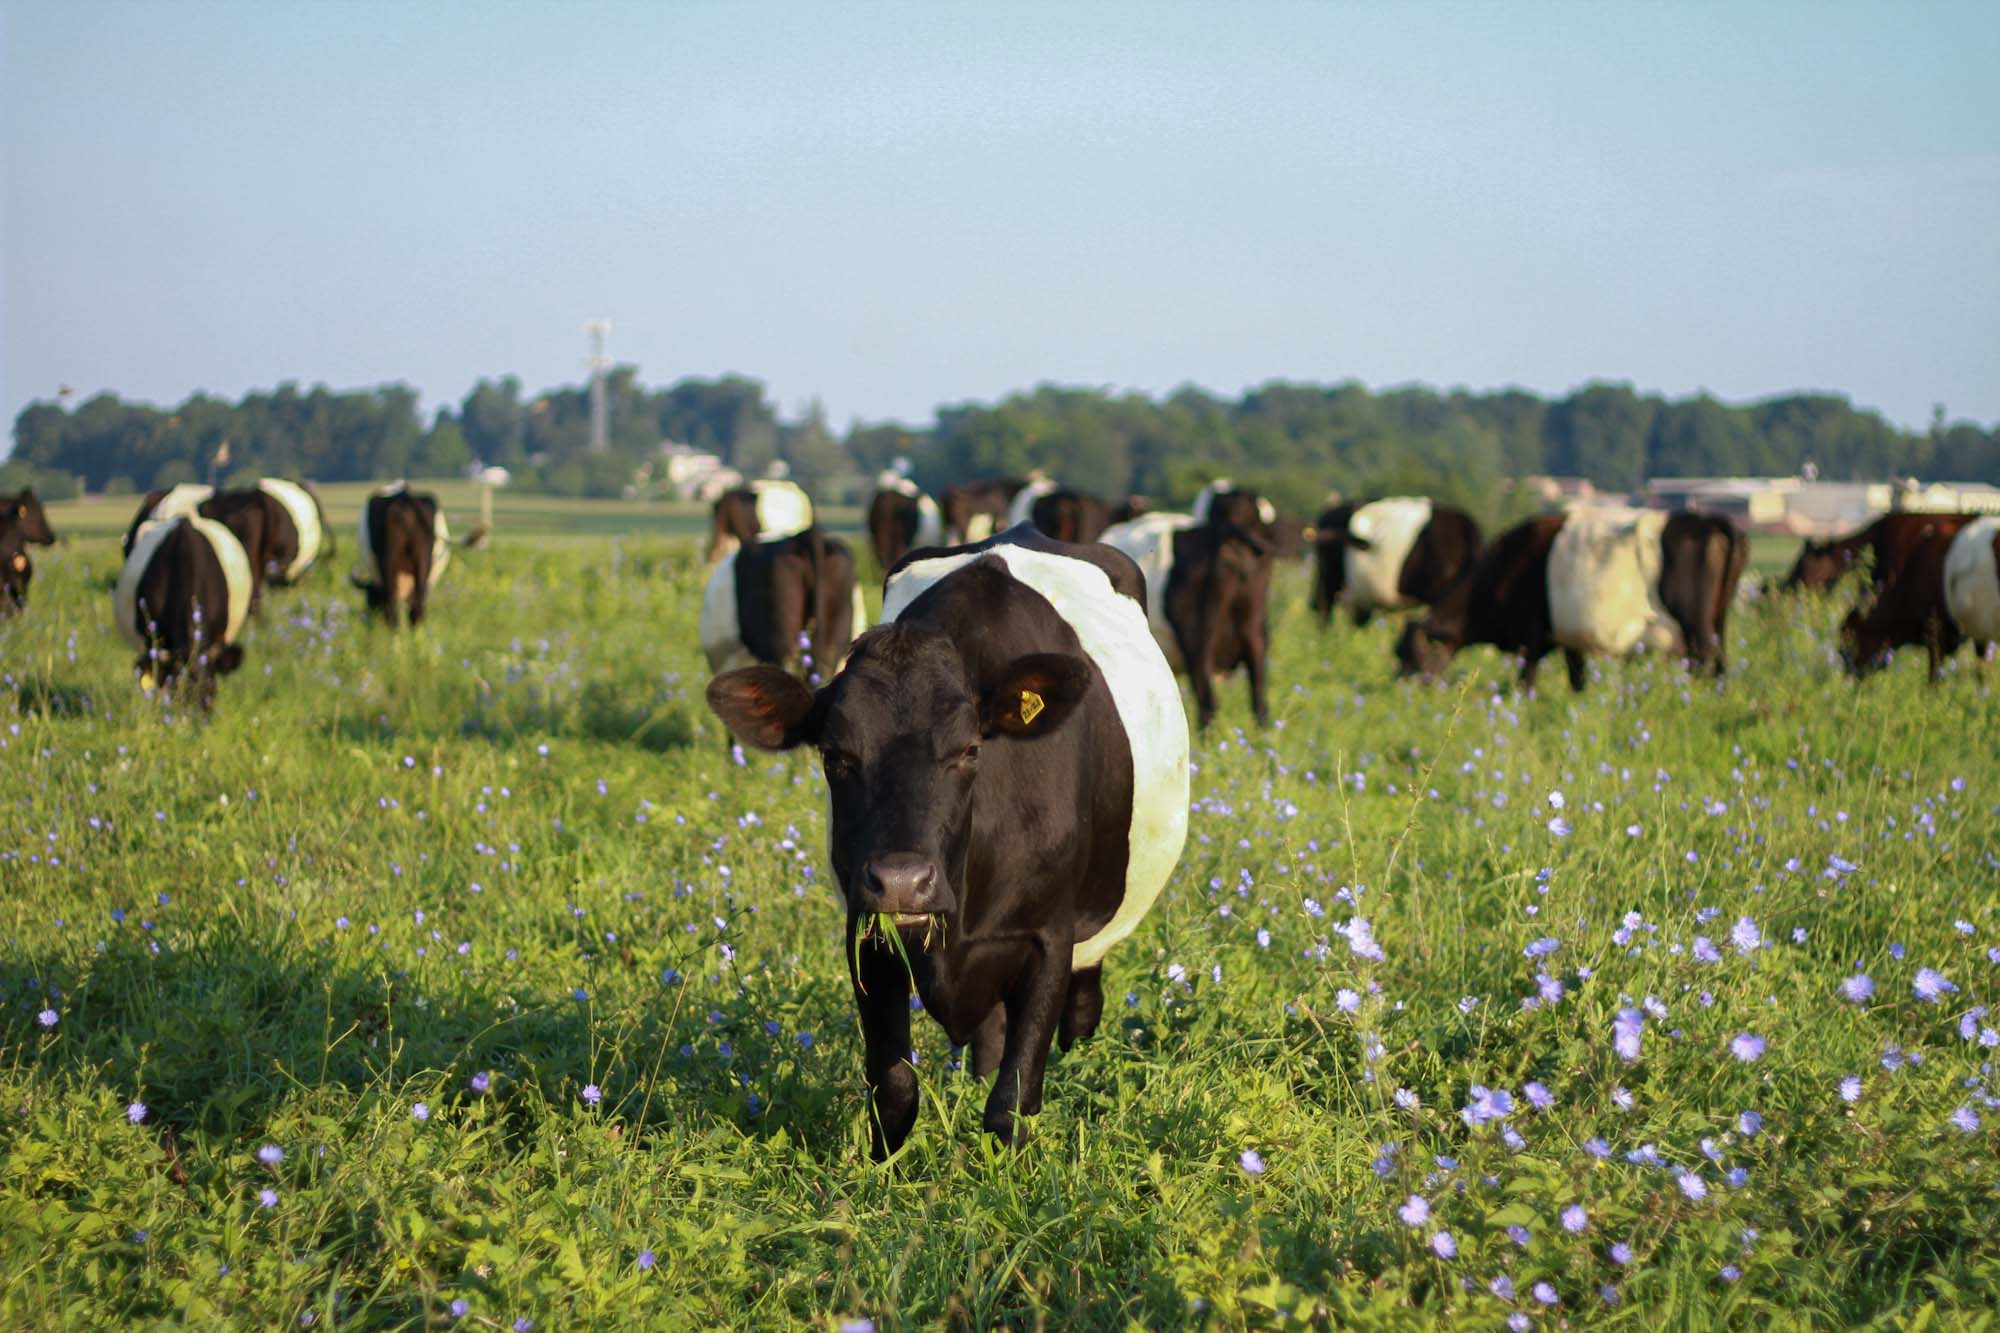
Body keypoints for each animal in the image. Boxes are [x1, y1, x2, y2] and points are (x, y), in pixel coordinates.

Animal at [351, 482, 451, 627]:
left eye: (371, 599)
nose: (370, 619)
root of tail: (405, 497)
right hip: (422, 564)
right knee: (416, 609)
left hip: (388, 564)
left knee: (393, 607)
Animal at [1396, 507, 1749, 692]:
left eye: (1410, 657)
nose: (1400, 690)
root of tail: (1706, 519)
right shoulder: (1570, 641)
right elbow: (1577, 680)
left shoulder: (1530, 637)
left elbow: (1526, 682)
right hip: (1718, 620)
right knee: (1720, 660)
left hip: (1694, 624)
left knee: (1704, 659)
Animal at [1840, 516, 2000, 680]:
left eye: (1846, 650)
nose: (1847, 681)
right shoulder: (1980, 634)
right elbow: (1981, 674)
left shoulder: (1937, 632)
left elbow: (1933, 679)